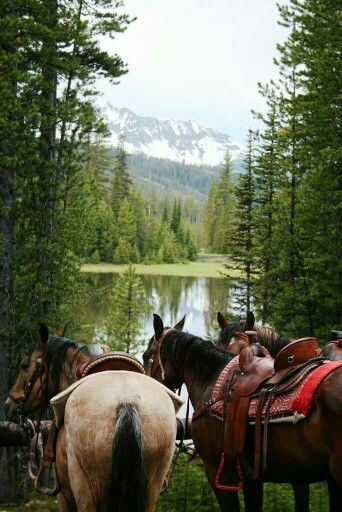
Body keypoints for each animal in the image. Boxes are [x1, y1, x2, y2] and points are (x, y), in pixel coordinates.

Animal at [4, 324, 179, 512]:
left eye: (24, 365)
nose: (8, 406)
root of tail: (127, 402)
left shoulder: (63, 497)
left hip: (86, 493)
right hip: (151, 492)